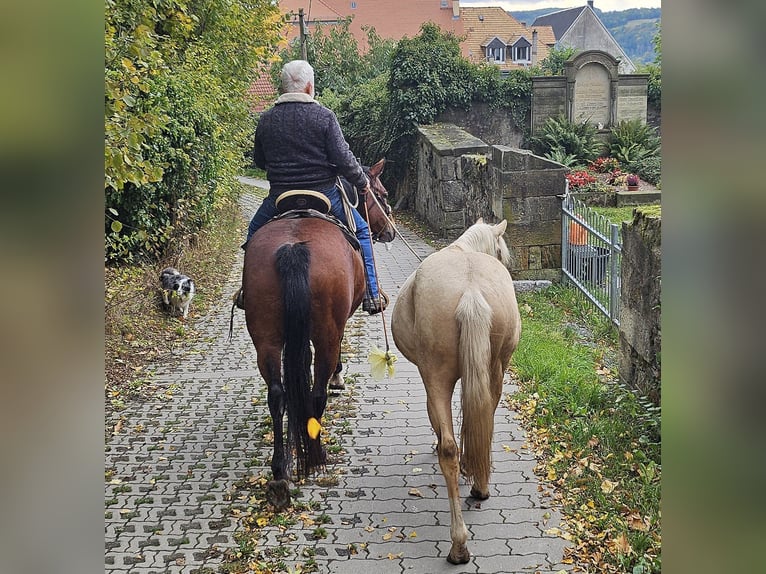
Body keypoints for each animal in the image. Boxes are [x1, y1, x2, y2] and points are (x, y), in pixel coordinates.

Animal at [242, 159, 395, 510]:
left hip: (265, 338)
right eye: (381, 194)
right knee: (317, 392)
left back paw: (280, 470)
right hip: (324, 331)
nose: (390, 231)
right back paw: (314, 454)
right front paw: (339, 377)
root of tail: (293, 247)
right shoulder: (337, 324)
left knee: (278, 393)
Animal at [391, 218, 521, 564]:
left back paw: (458, 544)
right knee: (483, 426)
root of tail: (471, 291)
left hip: (436, 376)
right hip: (494, 371)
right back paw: (478, 490)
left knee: (448, 449)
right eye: (501, 251)